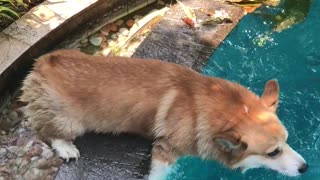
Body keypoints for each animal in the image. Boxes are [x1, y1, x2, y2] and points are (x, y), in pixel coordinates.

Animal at [20, 48, 308, 177]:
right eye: (273, 153)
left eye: (287, 141)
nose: (306, 167)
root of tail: (41, 63)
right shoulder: (166, 149)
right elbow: (159, 174)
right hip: (70, 122)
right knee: (47, 130)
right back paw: (66, 148)